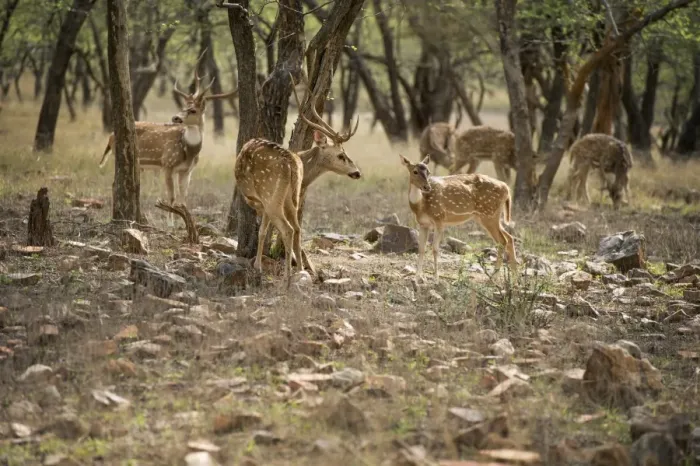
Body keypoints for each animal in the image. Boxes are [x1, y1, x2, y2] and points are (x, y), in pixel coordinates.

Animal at [99, 67, 236, 225]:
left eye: (193, 110)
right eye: (184, 106)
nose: (175, 118)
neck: (189, 152)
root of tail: (110, 136)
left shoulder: (187, 171)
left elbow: (183, 198)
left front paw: (184, 222)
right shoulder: (167, 164)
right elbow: (172, 196)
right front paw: (170, 224)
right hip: (119, 155)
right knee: (115, 183)